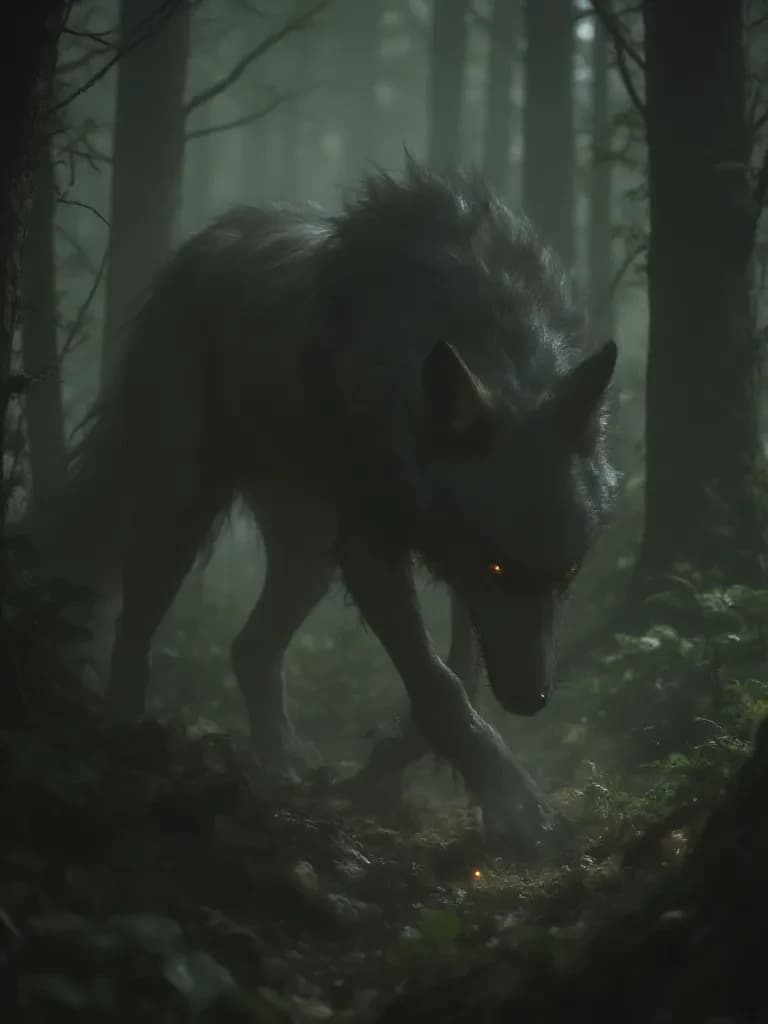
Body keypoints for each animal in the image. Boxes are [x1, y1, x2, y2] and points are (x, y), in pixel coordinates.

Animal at [56, 161, 618, 848]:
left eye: (567, 576)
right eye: (497, 568)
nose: (532, 700)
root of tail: (202, 246)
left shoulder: (449, 571)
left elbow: (460, 675)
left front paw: (398, 759)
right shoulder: (377, 554)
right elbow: (439, 683)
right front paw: (512, 800)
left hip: (309, 561)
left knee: (249, 648)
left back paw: (280, 766)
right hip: (183, 515)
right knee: (134, 631)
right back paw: (129, 742)